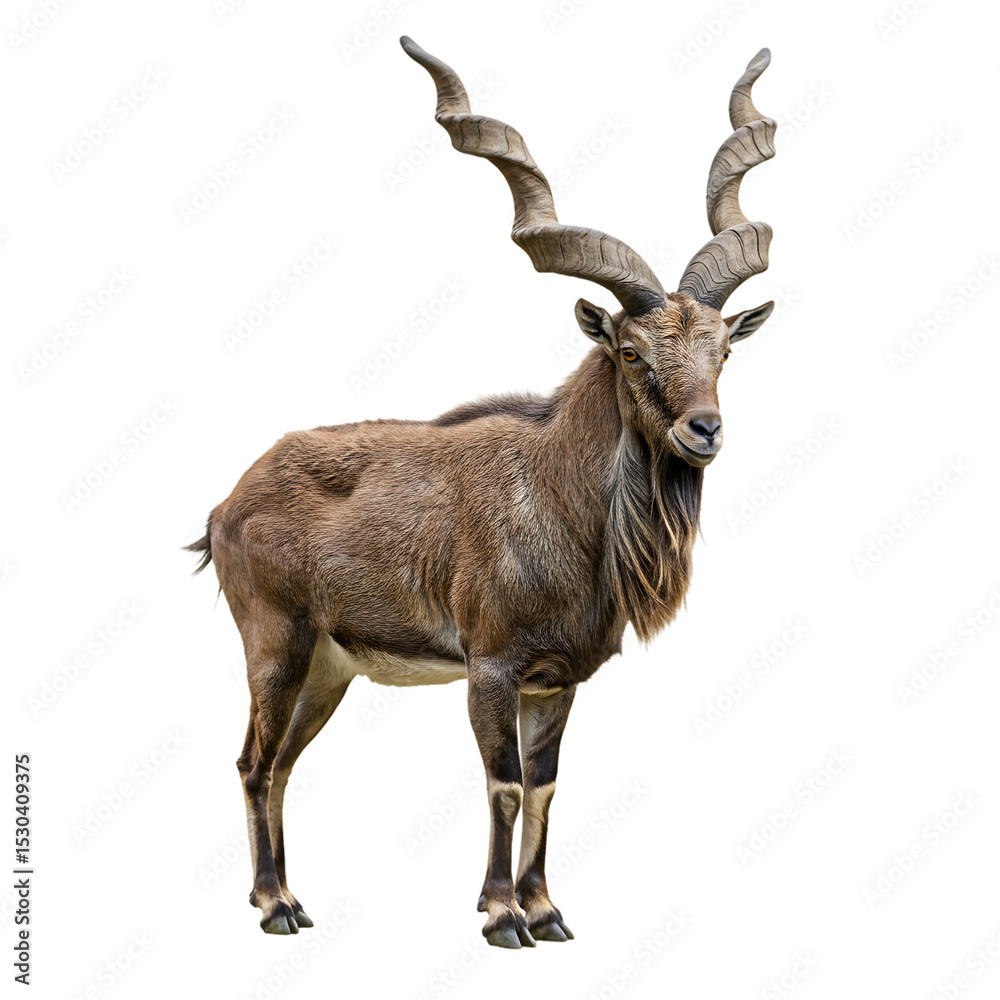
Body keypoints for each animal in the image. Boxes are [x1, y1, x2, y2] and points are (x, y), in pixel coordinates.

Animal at [187, 36, 778, 948]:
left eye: (724, 349)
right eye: (632, 351)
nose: (704, 430)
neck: (561, 506)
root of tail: (227, 505)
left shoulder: (556, 682)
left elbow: (544, 785)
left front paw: (547, 910)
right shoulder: (492, 667)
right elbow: (503, 784)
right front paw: (502, 916)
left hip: (328, 666)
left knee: (281, 762)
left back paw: (284, 898)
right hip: (274, 642)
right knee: (253, 759)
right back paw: (276, 905)